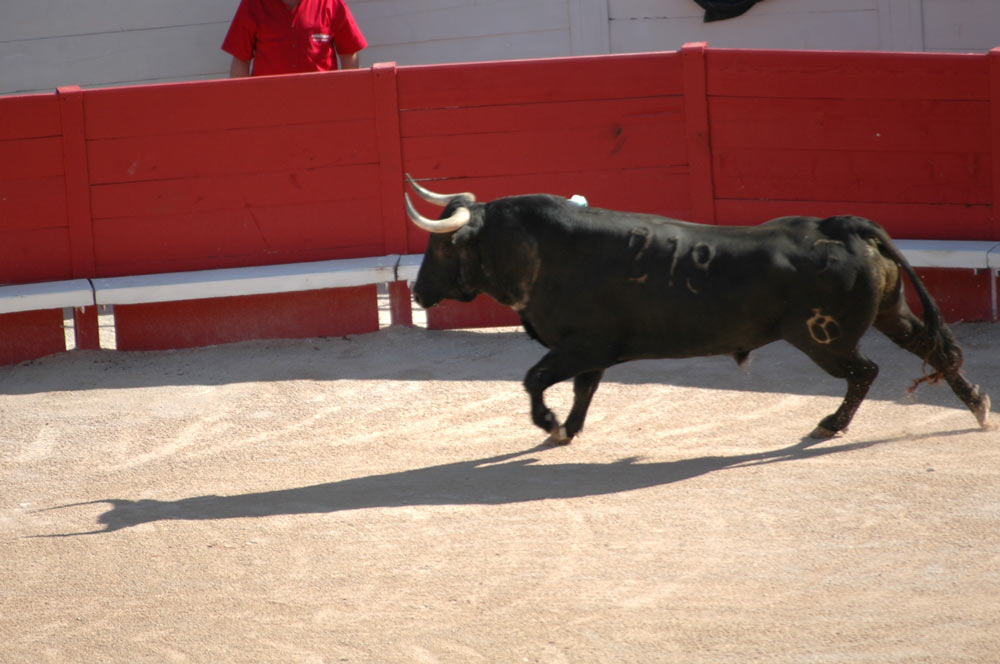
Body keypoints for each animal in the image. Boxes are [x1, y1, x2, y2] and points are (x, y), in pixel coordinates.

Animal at [404, 179, 992, 444]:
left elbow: (535, 380)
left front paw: (549, 424)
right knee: (934, 350)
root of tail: (844, 225)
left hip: (821, 339)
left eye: (442, 247)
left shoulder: (580, 345)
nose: (417, 292)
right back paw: (980, 406)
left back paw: (829, 425)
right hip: (891, 314)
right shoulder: (590, 351)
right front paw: (566, 430)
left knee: (864, 371)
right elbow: (583, 389)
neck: (537, 249)